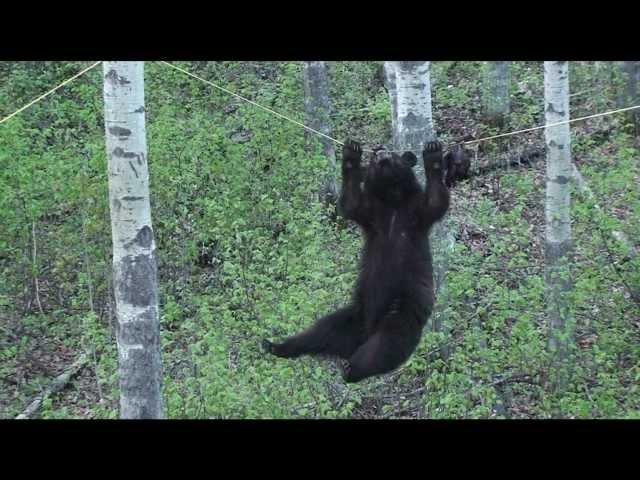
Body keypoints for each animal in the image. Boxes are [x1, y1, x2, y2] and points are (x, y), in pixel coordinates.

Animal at [262, 139, 448, 382]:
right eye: (374, 158)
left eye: (393, 155)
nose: (380, 153)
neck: (392, 201)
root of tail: (367, 331)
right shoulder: (372, 215)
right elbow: (350, 203)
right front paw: (351, 154)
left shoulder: (415, 214)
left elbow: (435, 202)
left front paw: (433, 153)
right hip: (354, 315)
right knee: (323, 331)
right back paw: (278, 346)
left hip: (402, 308)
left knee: (387, 343)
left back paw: (352, 368)